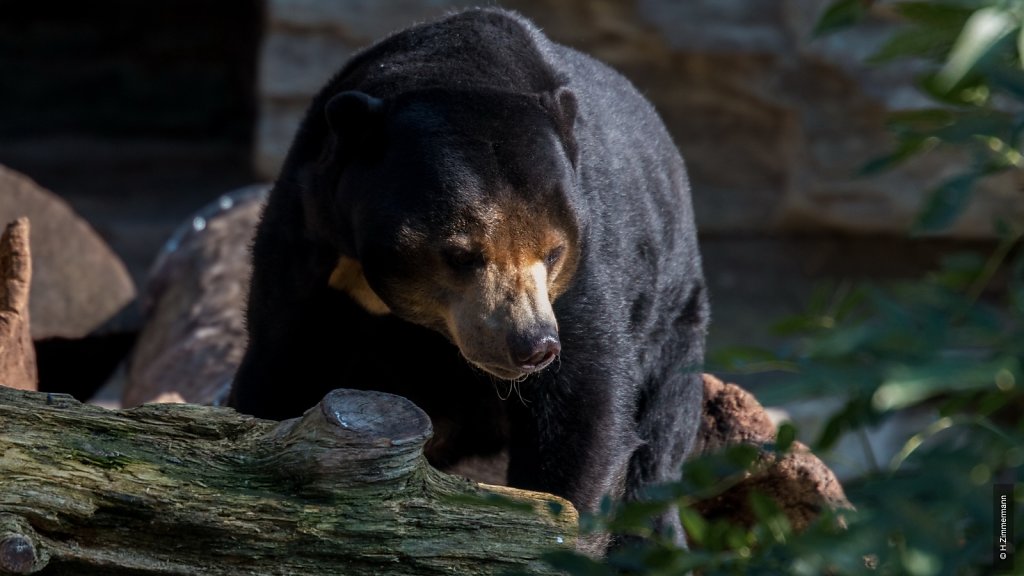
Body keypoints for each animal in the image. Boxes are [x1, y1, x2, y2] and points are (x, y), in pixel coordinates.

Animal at [230, 7, 712, 545]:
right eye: (461, 255)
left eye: (553, 252)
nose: (532, 345)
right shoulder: (309, 233)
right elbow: (284, 364)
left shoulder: (590, 251)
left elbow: (584, 401)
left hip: (673, 317)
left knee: (659, 441)